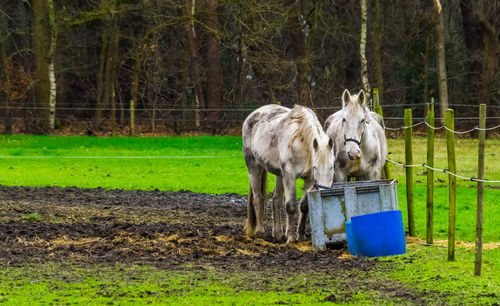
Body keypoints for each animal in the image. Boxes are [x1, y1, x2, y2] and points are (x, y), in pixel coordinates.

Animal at [243, 104, 336, 243]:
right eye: (315, 167)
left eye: (332, 166)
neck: (301, 143)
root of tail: (252, 115)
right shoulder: (289, 175)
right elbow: (291, 206)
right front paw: (291, 238)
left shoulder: (309, 179)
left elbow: (304, 206)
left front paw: (300, 235)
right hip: (254, 168)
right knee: (258, 198)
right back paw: (260, 231)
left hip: (279, 175)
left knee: (276, 199)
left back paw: (278, 234)